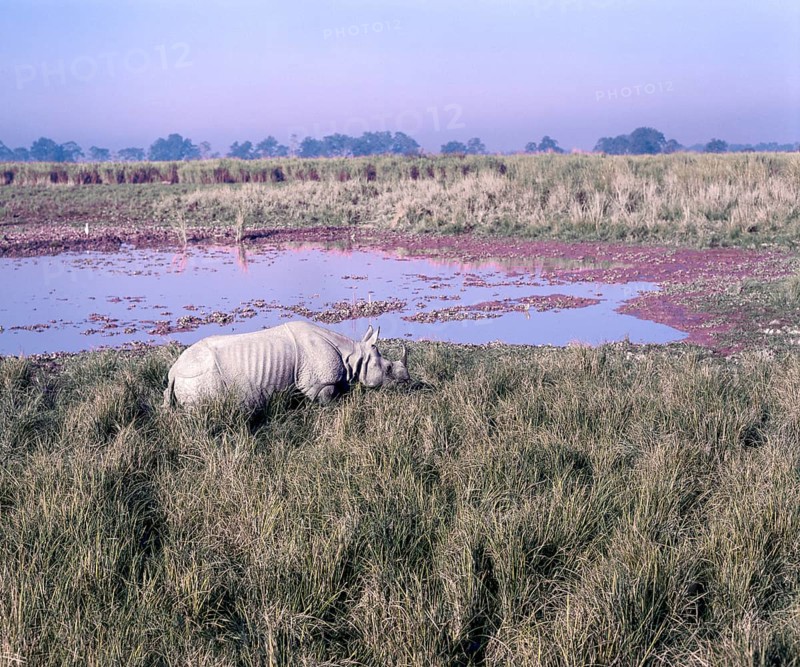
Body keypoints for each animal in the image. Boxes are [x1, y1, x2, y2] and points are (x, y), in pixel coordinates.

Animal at [163, 321, 409, 408]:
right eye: (388, 369)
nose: (407, 381)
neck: (353, 356)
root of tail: (174, 370)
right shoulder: (318, 384)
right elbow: (327, 403)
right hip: (199, 375)